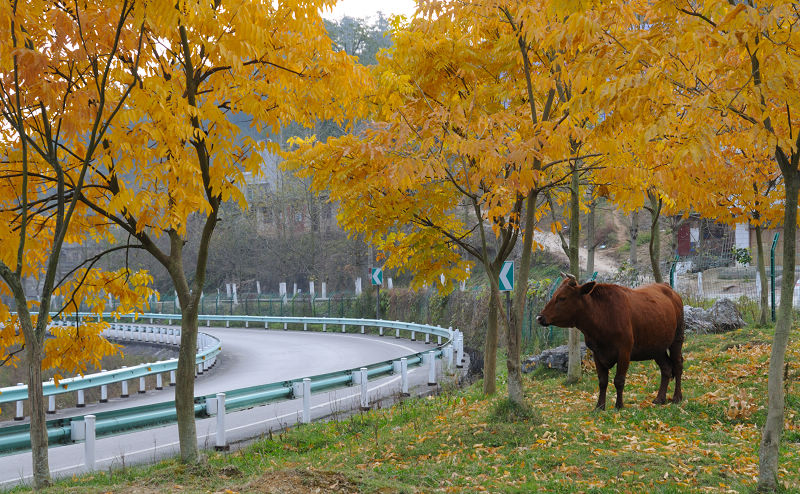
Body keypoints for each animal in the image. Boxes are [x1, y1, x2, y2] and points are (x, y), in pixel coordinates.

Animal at [536, 274, 684, 410]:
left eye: (562, 298)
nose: (539, 317)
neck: (603, 316)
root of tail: (668, 287)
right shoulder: (596, 353)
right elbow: (602, 381)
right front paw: (600, 406)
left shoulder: (624, 351)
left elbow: (619, 380)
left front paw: (619, 405)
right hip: (656, 346)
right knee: (666, 368)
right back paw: (660, 398)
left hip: (677, 338)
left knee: (677, 364)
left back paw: (677, 397)